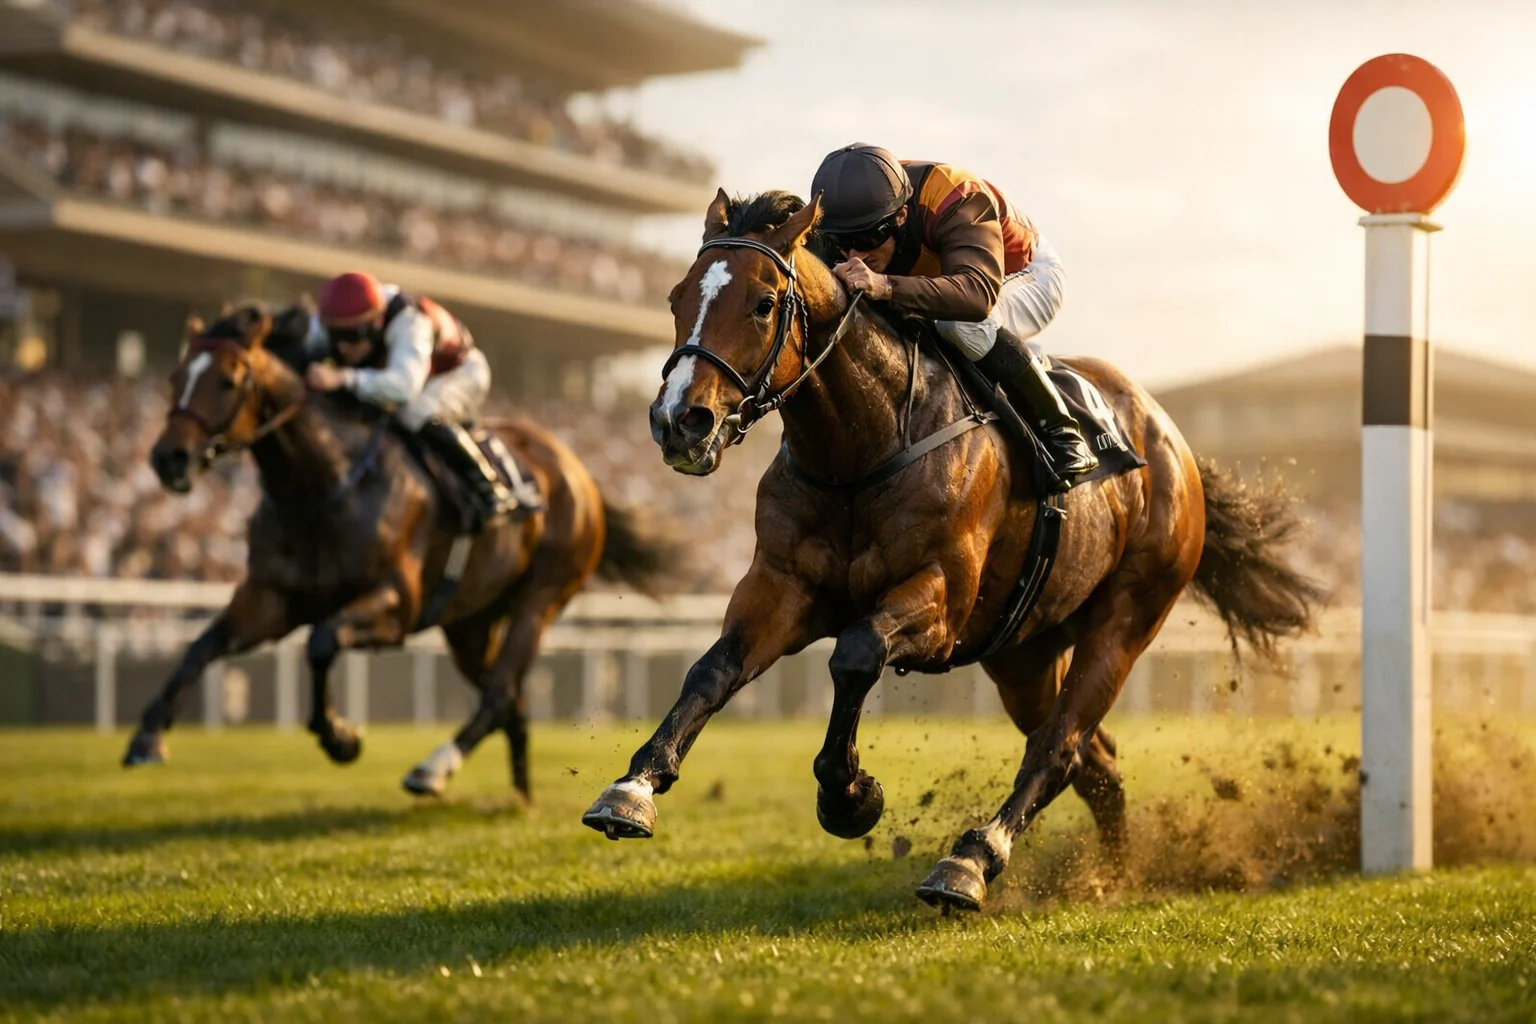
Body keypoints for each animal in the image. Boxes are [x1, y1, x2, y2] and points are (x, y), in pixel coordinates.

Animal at [126, 303, 666, 802]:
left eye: (228, 380)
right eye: (176, 377)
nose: (168, 458)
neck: (323, 485)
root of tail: (580, 472)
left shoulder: (397, 603)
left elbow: (321, 641)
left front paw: (340, 737)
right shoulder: (271, 597)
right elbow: (202, 646)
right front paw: (147, 737)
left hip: (542, 598)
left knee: (498, 692)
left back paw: (434, 768)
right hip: (468, 621)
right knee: (510, 695)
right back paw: (520, 795)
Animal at [582, 190, 1322, 912]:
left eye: (764, 303)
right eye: (676, 297)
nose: (679, 421)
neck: (863, 446)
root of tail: (1174, 440)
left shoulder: (940, 601)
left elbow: (856, 655)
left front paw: (850, 796)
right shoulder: (782, 585)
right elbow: (712, 671)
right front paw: (633, 789)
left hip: (1127, 618)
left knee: (1059, 746)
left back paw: (972, 860)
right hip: (1026, 650)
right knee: (1095, 763)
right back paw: (1110, 875)